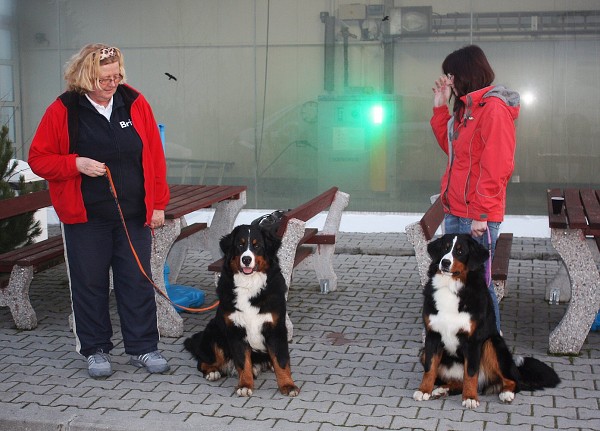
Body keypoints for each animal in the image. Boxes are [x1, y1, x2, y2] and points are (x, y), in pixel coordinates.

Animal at [184, 224, 299, 397]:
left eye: (257, 246)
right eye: (240, 245)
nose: (246, 259)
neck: (249, 285)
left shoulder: (276, 329)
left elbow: (281, 360)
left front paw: (288, 385)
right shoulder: (235, 331)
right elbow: (243, 362)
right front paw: (245, 384)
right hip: (214, 333)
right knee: (203, 362)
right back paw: (212, 372)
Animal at [414, 233, 560, 409]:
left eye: (460, 251)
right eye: (444, 248)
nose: (445, 262)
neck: (451, 287)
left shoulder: (474, 340)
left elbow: (471, 373)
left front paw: (470, 397)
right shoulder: (432, 335)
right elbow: (430, 368)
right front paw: (424, 390)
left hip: (492, 343)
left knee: (512, 380)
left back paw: (506, 393)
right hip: (423, 353)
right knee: (458, 382)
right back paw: (442, 389)